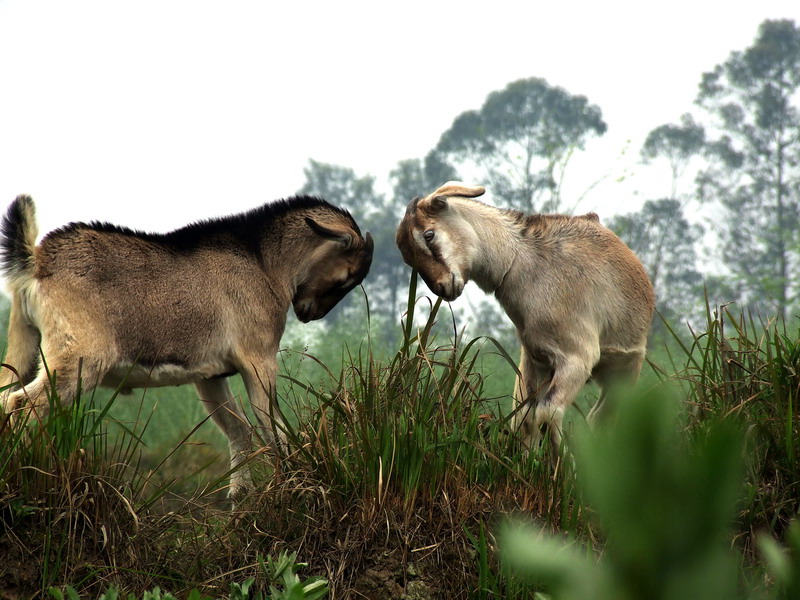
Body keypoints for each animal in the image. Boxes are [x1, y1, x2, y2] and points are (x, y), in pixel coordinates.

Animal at [0, 195, 376, 500]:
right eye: (347, 276)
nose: (310, 313)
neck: (261, 261)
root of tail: (36, 262)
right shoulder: (258, 357)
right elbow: (273, 427)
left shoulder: (211, 376)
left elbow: (240, 429)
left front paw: (240, 499)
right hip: (79, 358)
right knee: (22, 404)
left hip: (23, 343)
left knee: (6, 393)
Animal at [396, 180, 656, 458]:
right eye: (408, 257)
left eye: (428, 235)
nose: (443, 288)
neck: (523, 263)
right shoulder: (537, 360)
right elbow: (526, 419)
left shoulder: (577, 358)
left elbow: (548, 413)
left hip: (624, 372)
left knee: (601, 418)